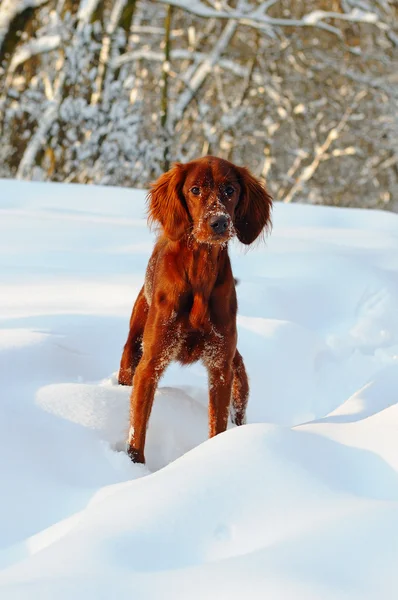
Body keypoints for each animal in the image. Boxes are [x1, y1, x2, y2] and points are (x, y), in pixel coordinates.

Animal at [118, 156, 272, 464]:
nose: (219, 222)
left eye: (230, 190)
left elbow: (218, 425)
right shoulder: (150, 364)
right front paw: (134, 466)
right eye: (195, 190)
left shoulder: (220, 367)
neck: (201, 271)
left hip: (239, 376)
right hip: (133, 350)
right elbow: (138, 428)